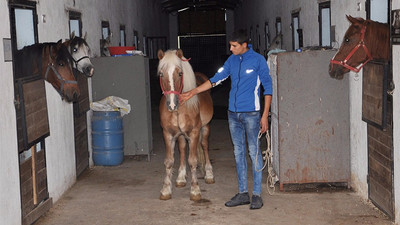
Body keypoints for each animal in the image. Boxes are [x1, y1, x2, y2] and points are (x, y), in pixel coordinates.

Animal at [156, 48, 214, 200]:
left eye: (180, 73)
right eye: (161, 74)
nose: (172, 104)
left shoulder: (194, 133)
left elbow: (192, 161)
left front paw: (195, 191)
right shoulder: (168, 134)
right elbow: (169, 161)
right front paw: (166, 190)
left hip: (205, 128)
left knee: (204, 146)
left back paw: (209, 174)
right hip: (181, 135)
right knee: (182, 149)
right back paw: (181, 178)